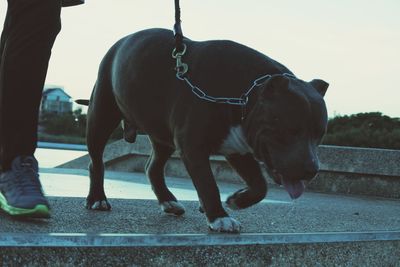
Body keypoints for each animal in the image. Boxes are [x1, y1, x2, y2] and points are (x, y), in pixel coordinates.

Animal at [78, 28, 328, 233]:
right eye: (290, 129)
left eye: (319, 135)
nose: (311, 170)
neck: (244, 94)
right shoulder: (192, 146)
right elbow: (208, 184)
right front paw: (219, 218)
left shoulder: (238, 146)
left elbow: (260, 186)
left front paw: (237, 200)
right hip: (102, 114)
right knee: (96, 161)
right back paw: (97, 198)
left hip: (162, 135)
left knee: (153, 166)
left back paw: (168, 201)